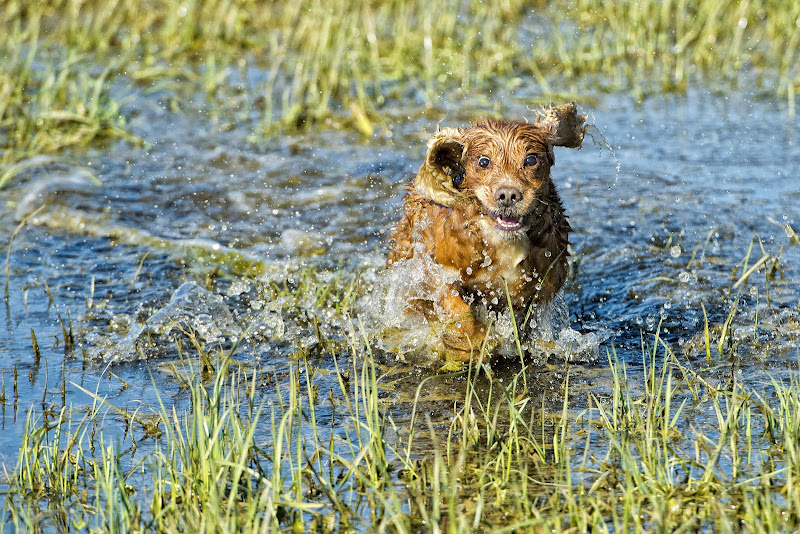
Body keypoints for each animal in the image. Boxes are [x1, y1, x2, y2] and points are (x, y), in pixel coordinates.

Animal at [388, 104, 588, 364]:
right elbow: (455, 305)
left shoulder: (546, 279)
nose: (508, 195)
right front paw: (474, 341)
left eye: (531, 159)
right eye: (484, 161)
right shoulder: (433, 271)